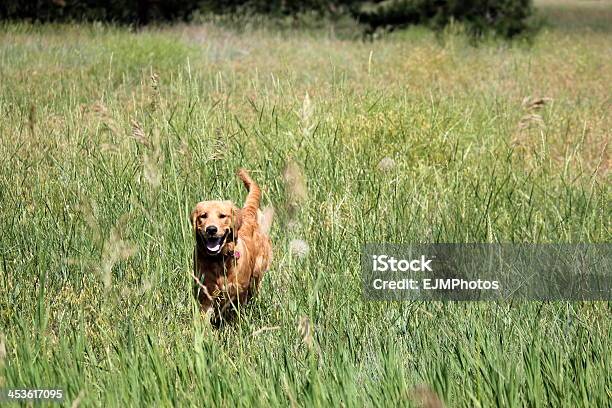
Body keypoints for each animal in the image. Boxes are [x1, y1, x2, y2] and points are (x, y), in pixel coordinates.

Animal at [191, 169, 272, 326]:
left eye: (222, 216)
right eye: (203, 216)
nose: (211, 229)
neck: (219, 259)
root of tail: (247, 213)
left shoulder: (239, 291)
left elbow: (235, 314)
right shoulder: (206, 293)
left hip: (257, 273)